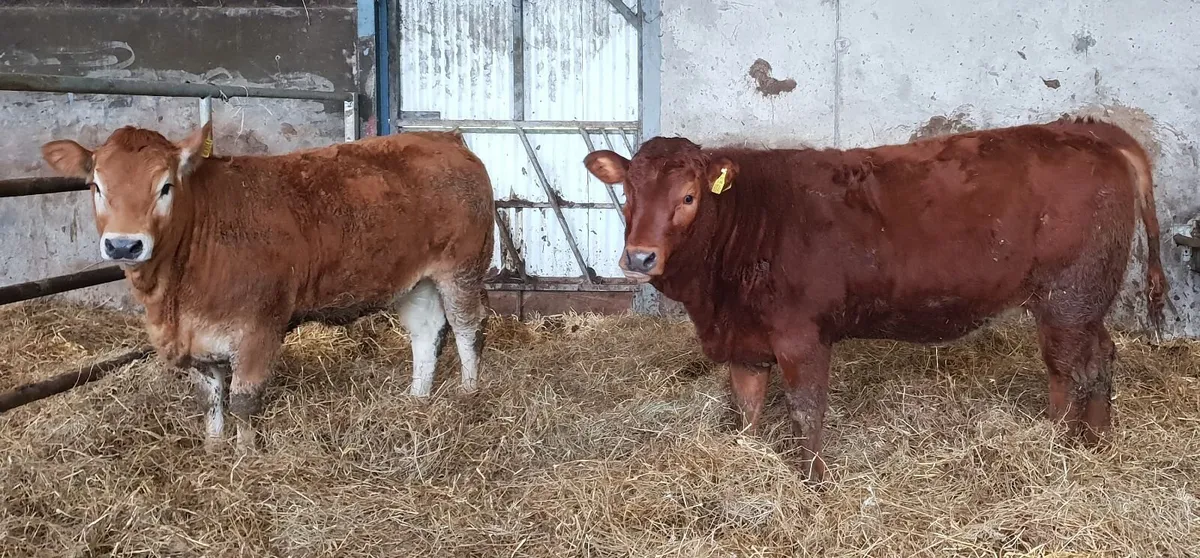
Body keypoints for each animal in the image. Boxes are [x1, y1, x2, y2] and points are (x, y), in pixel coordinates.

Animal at [41, 122, 495, 449]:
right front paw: (213, 449)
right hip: (415, 281)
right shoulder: (199, 340)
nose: (124, 244)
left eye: (165, 187)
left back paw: (470, 394)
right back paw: (416, 399)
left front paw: (246, 456)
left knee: (468, 329)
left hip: (462, 268)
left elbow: (244, 399)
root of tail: (446, 138)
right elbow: (211, 399)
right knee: (426, 334)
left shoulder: (258, 328)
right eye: (97, 186)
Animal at [584, 117, 1167, 482]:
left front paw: (815, 483)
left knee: (1072, 368)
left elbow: (806, 410)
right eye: (628, 195)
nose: (639, 257)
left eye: (688, 197)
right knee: (1099, 356)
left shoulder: (802, 336)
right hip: (1084, 301)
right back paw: (1095, 441)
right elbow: (747, 407)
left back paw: (1063, 446)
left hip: (1070, 295)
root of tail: (1086, 131)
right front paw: (746, 461)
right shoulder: (746, 341)